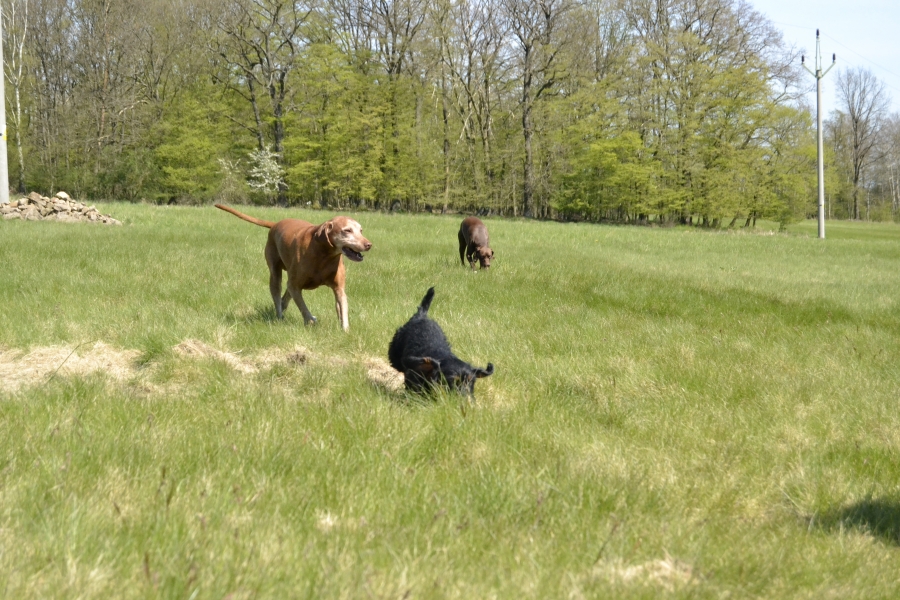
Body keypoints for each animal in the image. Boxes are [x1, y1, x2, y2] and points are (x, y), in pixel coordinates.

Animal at [215, 204, 371, 331]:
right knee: (278, 296)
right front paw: (310, 320)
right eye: (347, 230)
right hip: (275, 274)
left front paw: (345, 330)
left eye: (361, 230)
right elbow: (303, 308)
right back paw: (279, 316)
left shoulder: (338, 288)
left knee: (285, 297)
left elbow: (342, 308)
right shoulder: (295, 285)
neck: (324, 255)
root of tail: (275, 224)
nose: (368, 244)